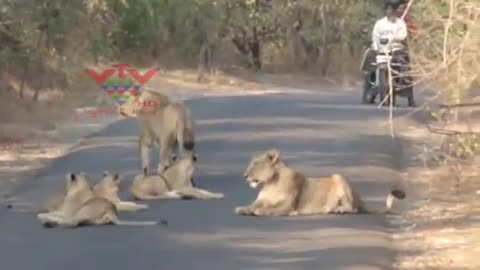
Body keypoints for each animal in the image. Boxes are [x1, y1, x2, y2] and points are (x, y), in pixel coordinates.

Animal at [35, 173, 163, 228]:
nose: (129, 184)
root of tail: (111, 211)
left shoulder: (66, 213)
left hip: (82, 210)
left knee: (71, 222)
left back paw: (48, 222)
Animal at [234, 149, 406, 216]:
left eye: (255, 163)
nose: (244, 175)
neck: (271, 183)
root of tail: (360, 198)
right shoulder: (262, 199)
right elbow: (253, 204)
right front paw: (242, 209)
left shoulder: (289, 205)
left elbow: (272, 209)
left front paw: (260, 211)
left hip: (338, 177)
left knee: (353, 208)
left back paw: (336, 209)